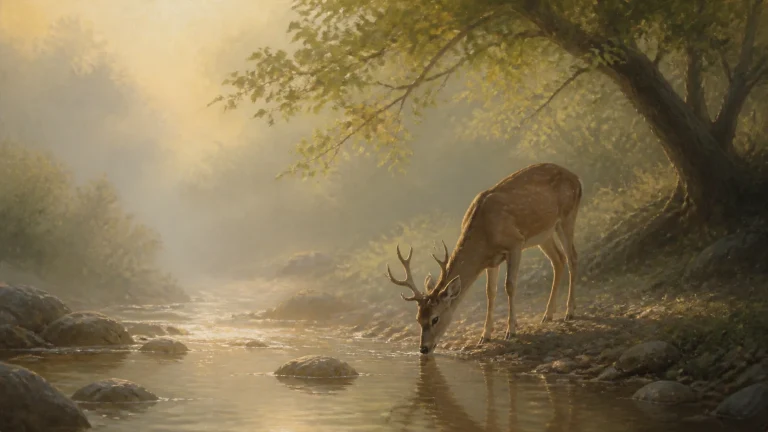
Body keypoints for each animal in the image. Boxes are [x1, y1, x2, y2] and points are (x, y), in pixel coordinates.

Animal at [386, 163, 582, 355]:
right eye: (418, 318)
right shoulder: (491, 260)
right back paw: (548, 315)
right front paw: (485, 336)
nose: (424, 348)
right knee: (558, 259)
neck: (485, 233)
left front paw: (511, 331)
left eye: (435, 318)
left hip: (567, 215)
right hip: (544, 234)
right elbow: (490, 292)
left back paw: (569, 311)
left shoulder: (515, 243)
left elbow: (509, 285)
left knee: (572, 257)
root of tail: (577, 178)